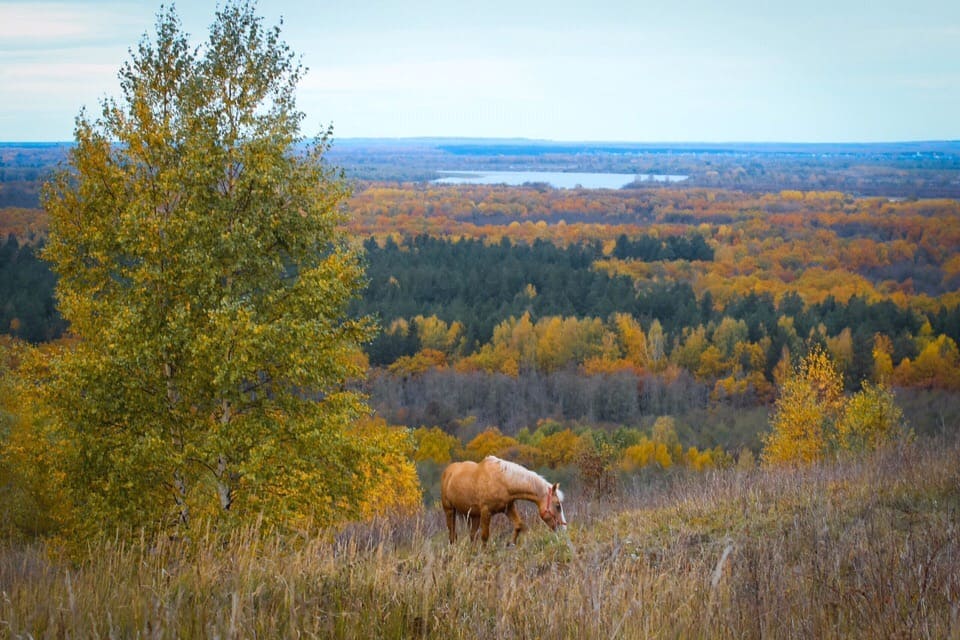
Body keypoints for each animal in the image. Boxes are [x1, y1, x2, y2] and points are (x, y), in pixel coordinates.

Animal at [440, 456, 568, 544]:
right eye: (557, 506)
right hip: (450, 511)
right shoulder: (486, 512)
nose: (564, 529)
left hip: (473, 515)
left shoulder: (508, 508)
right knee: (452, 535)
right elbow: (485, 537)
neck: (502, 481)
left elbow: (518, 525)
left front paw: (510, 544)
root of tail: (448, 471)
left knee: (472, 536)